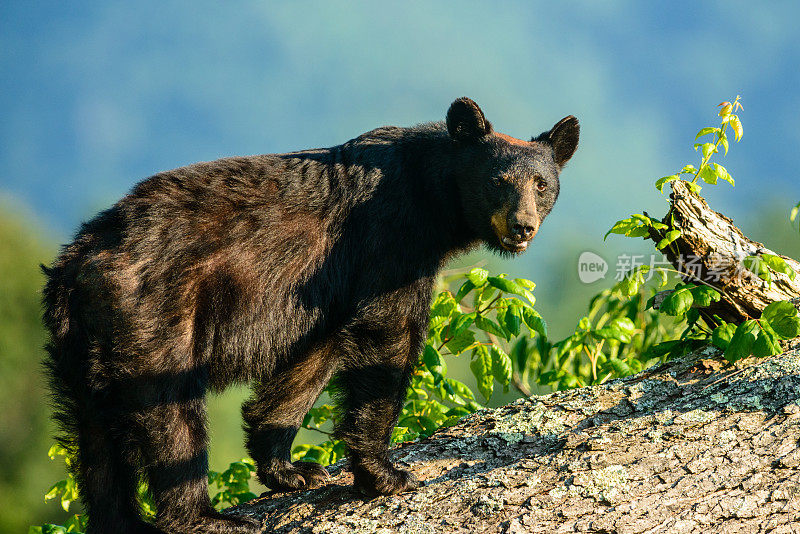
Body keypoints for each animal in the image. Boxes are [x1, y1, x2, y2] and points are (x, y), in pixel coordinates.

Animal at [42, 98, 576, 532]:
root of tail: (78, 261)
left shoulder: (332, 286)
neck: (432, 194)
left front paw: (292, 469)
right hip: (154, 313)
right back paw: (206, 518)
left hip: (81, 345)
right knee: (169, 411)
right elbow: (388, 336)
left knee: (96, 439)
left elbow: (312, 358)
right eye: (498, 181)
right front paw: (385, 474)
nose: (522, 226)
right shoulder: (391, 240)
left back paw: (123, 522)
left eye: (541, 184)